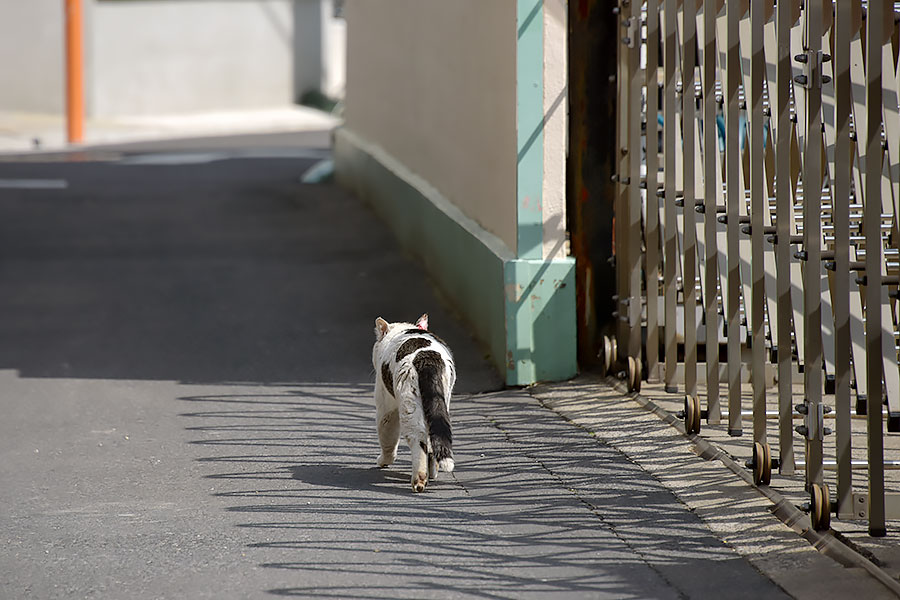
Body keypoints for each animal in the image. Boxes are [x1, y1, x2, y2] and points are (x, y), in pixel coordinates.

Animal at [370, 314, 458, 492]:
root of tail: (428, 359)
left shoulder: (386, 407)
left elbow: (387, 438)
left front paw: (383, 461)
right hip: (439, 403)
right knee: (432, 439)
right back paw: (432, 472)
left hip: (409, 407)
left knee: (418, 440)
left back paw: (419, 480)